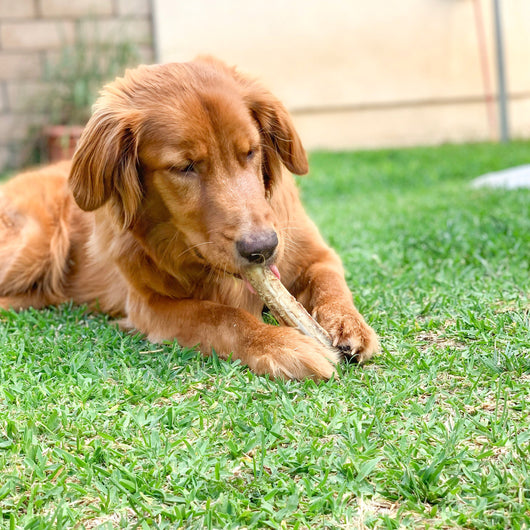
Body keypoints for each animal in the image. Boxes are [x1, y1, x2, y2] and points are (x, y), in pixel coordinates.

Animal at [1, 57, 380, 378]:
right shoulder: (150, 305)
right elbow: (221, 316)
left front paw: (349, 326)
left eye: (250, 152)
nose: (262, 248)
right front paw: (281, 345)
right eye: (185, 167)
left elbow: (329, 281)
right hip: (34, 246)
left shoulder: (312, 253)